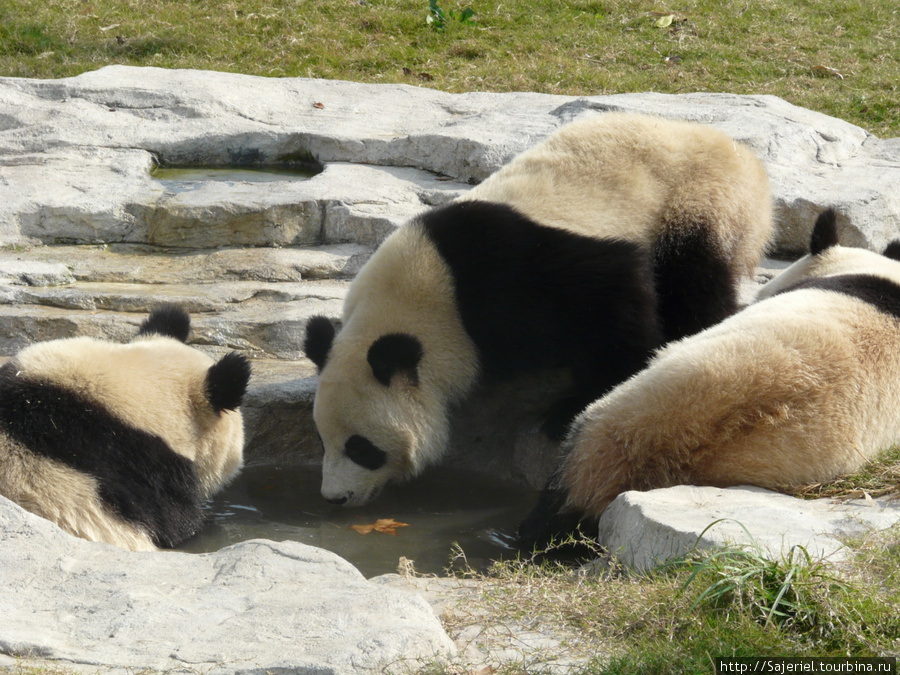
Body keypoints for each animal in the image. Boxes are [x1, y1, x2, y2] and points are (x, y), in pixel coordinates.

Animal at [304, 112, 772, 508]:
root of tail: (742, 154)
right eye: (322, 440)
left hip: (695, 200)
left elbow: (614, 307)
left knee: (694, 280)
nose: (335, 498)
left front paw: (572, 410)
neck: (425, 296)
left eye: (361, 448)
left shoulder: (513, 282)